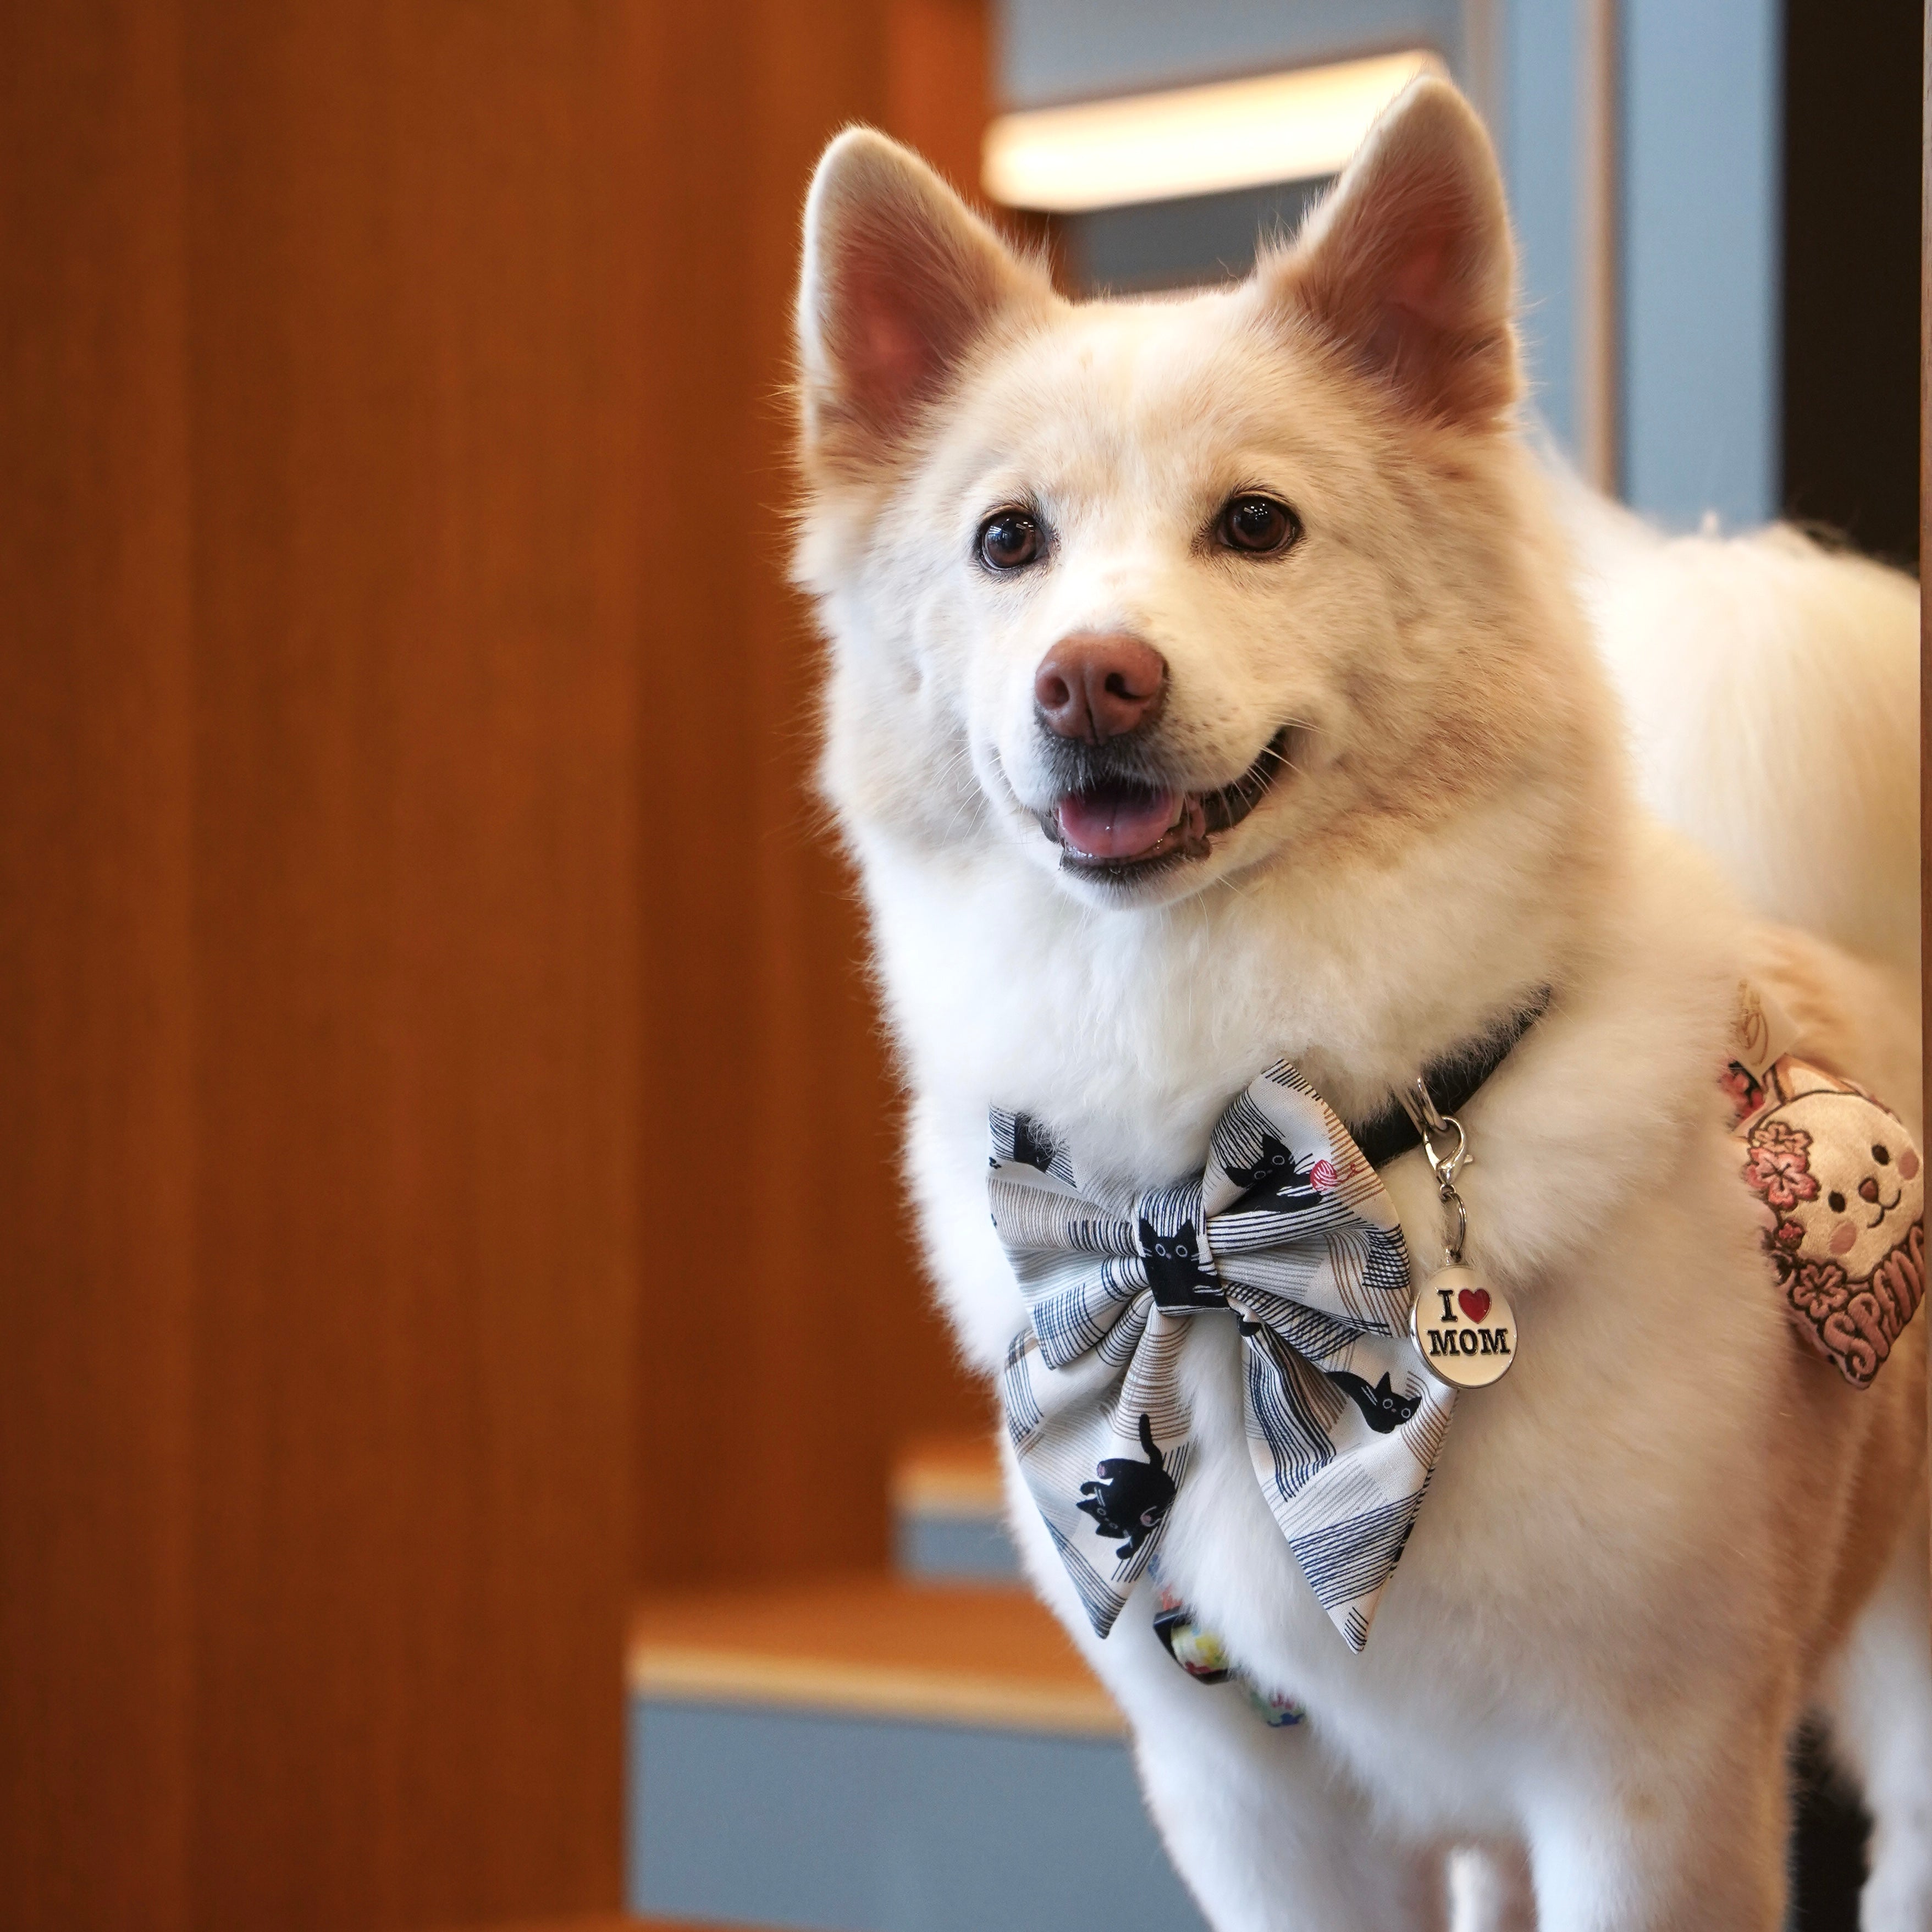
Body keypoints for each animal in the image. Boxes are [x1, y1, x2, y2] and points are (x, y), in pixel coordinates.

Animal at [788, 79, 1932, 1932]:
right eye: (1007, 542)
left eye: (1256, 524)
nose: (1089, 677)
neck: (1228, 1192)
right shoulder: (1260, 1809)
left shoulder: (1647, 1781)